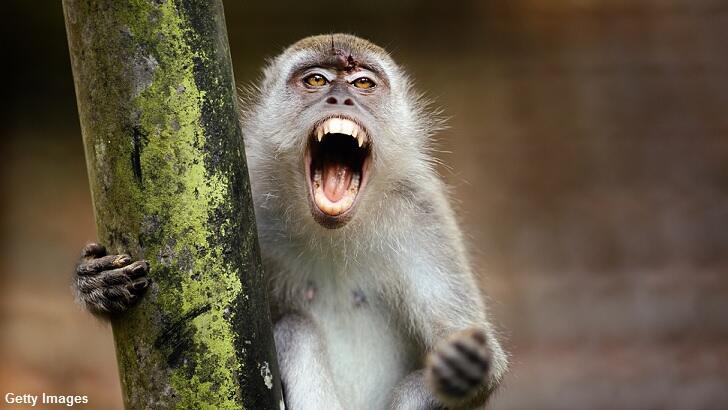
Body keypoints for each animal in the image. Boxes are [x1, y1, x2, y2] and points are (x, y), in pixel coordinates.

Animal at [74, 34, 508, 409]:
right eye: (316, 80)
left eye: (363, 83)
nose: (341, 97)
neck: (332, 233)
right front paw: (96, 283)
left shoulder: (423, 217)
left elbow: (481, 362)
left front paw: (467, 367)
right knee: (297, 330)